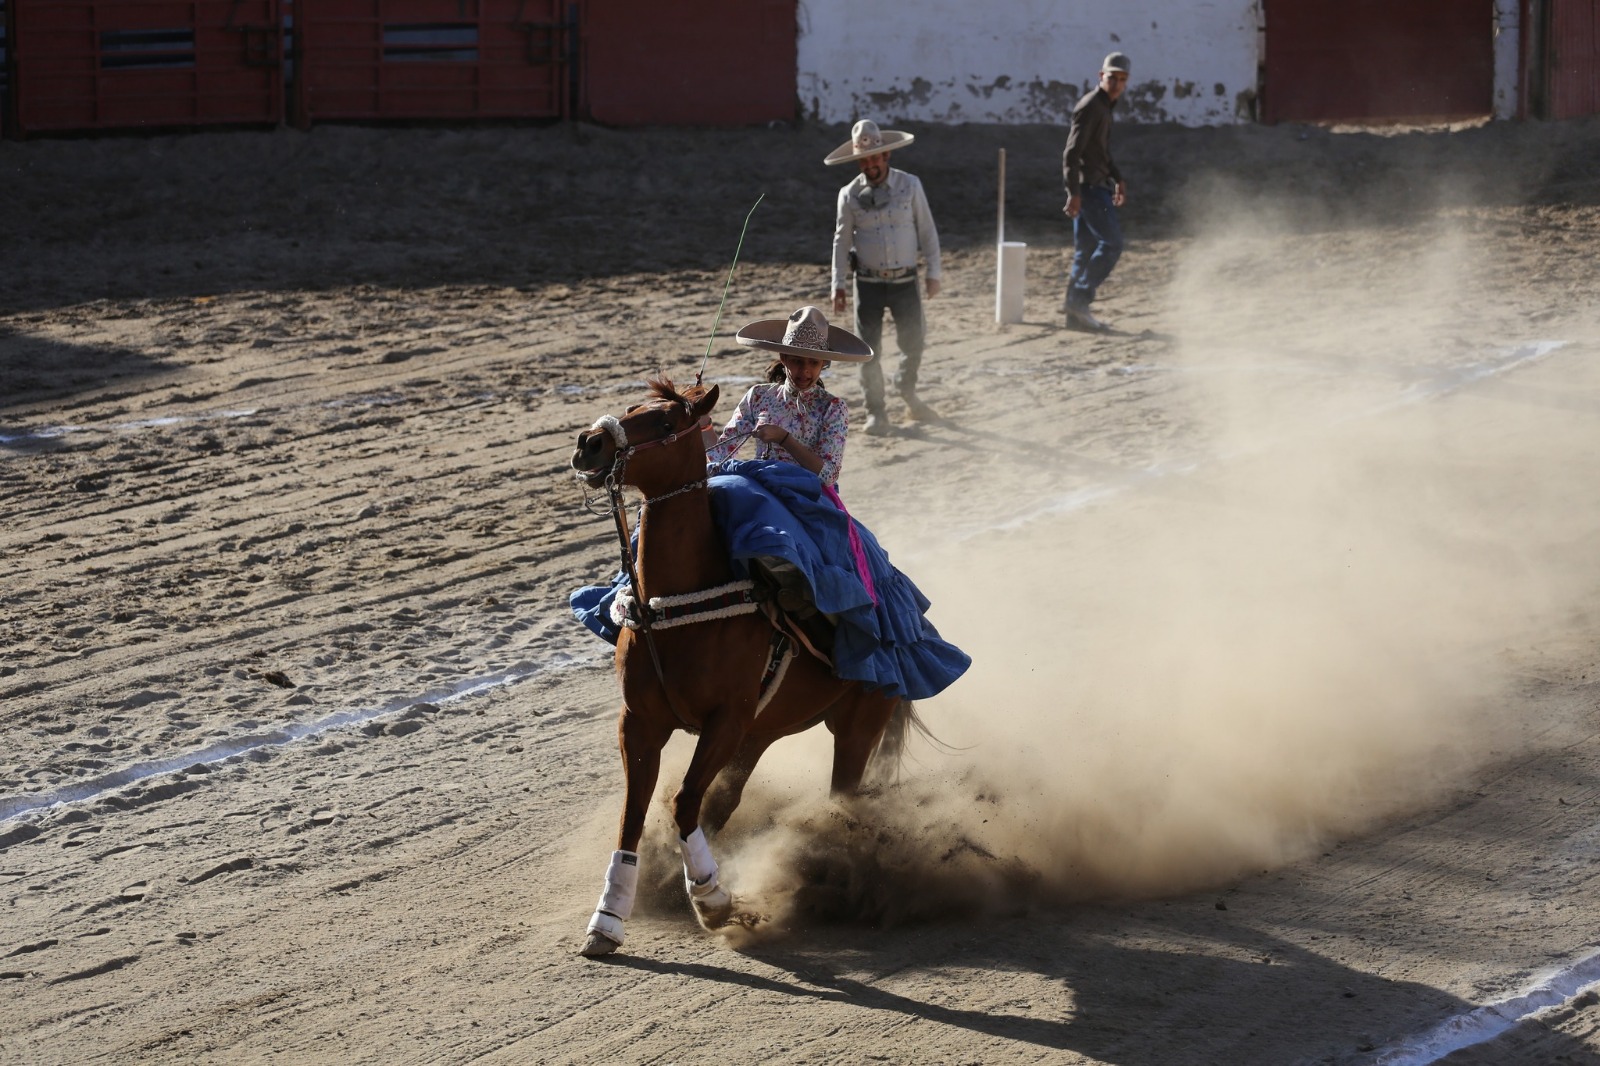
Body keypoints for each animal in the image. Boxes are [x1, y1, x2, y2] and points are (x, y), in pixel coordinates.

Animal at [569, 378, 914, 957]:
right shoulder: (640, 721)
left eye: (666, 423)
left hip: (858, 724)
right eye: (633, 407)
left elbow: (684, 802)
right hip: (760, 734)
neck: (677, 612)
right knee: (727, 802)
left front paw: (713, 900)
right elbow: (636, 812)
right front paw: (609, 917)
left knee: (842, 796)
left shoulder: (725, 721)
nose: (590, 443)